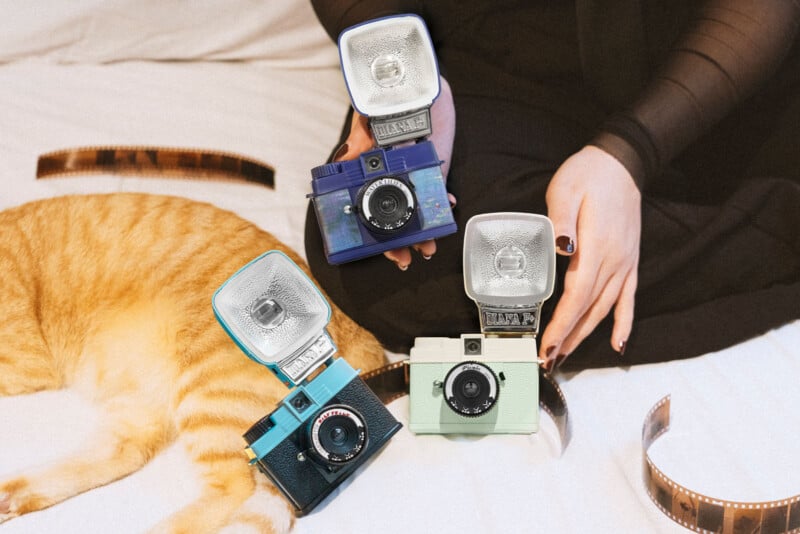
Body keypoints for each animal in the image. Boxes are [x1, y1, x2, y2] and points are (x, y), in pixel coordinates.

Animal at [0, 195, 388, 532]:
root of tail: (356, 329)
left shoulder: (25, 360)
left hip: (208, 395)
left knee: (235, 489)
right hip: (142, 396)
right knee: (125, 452)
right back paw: (10, 496)